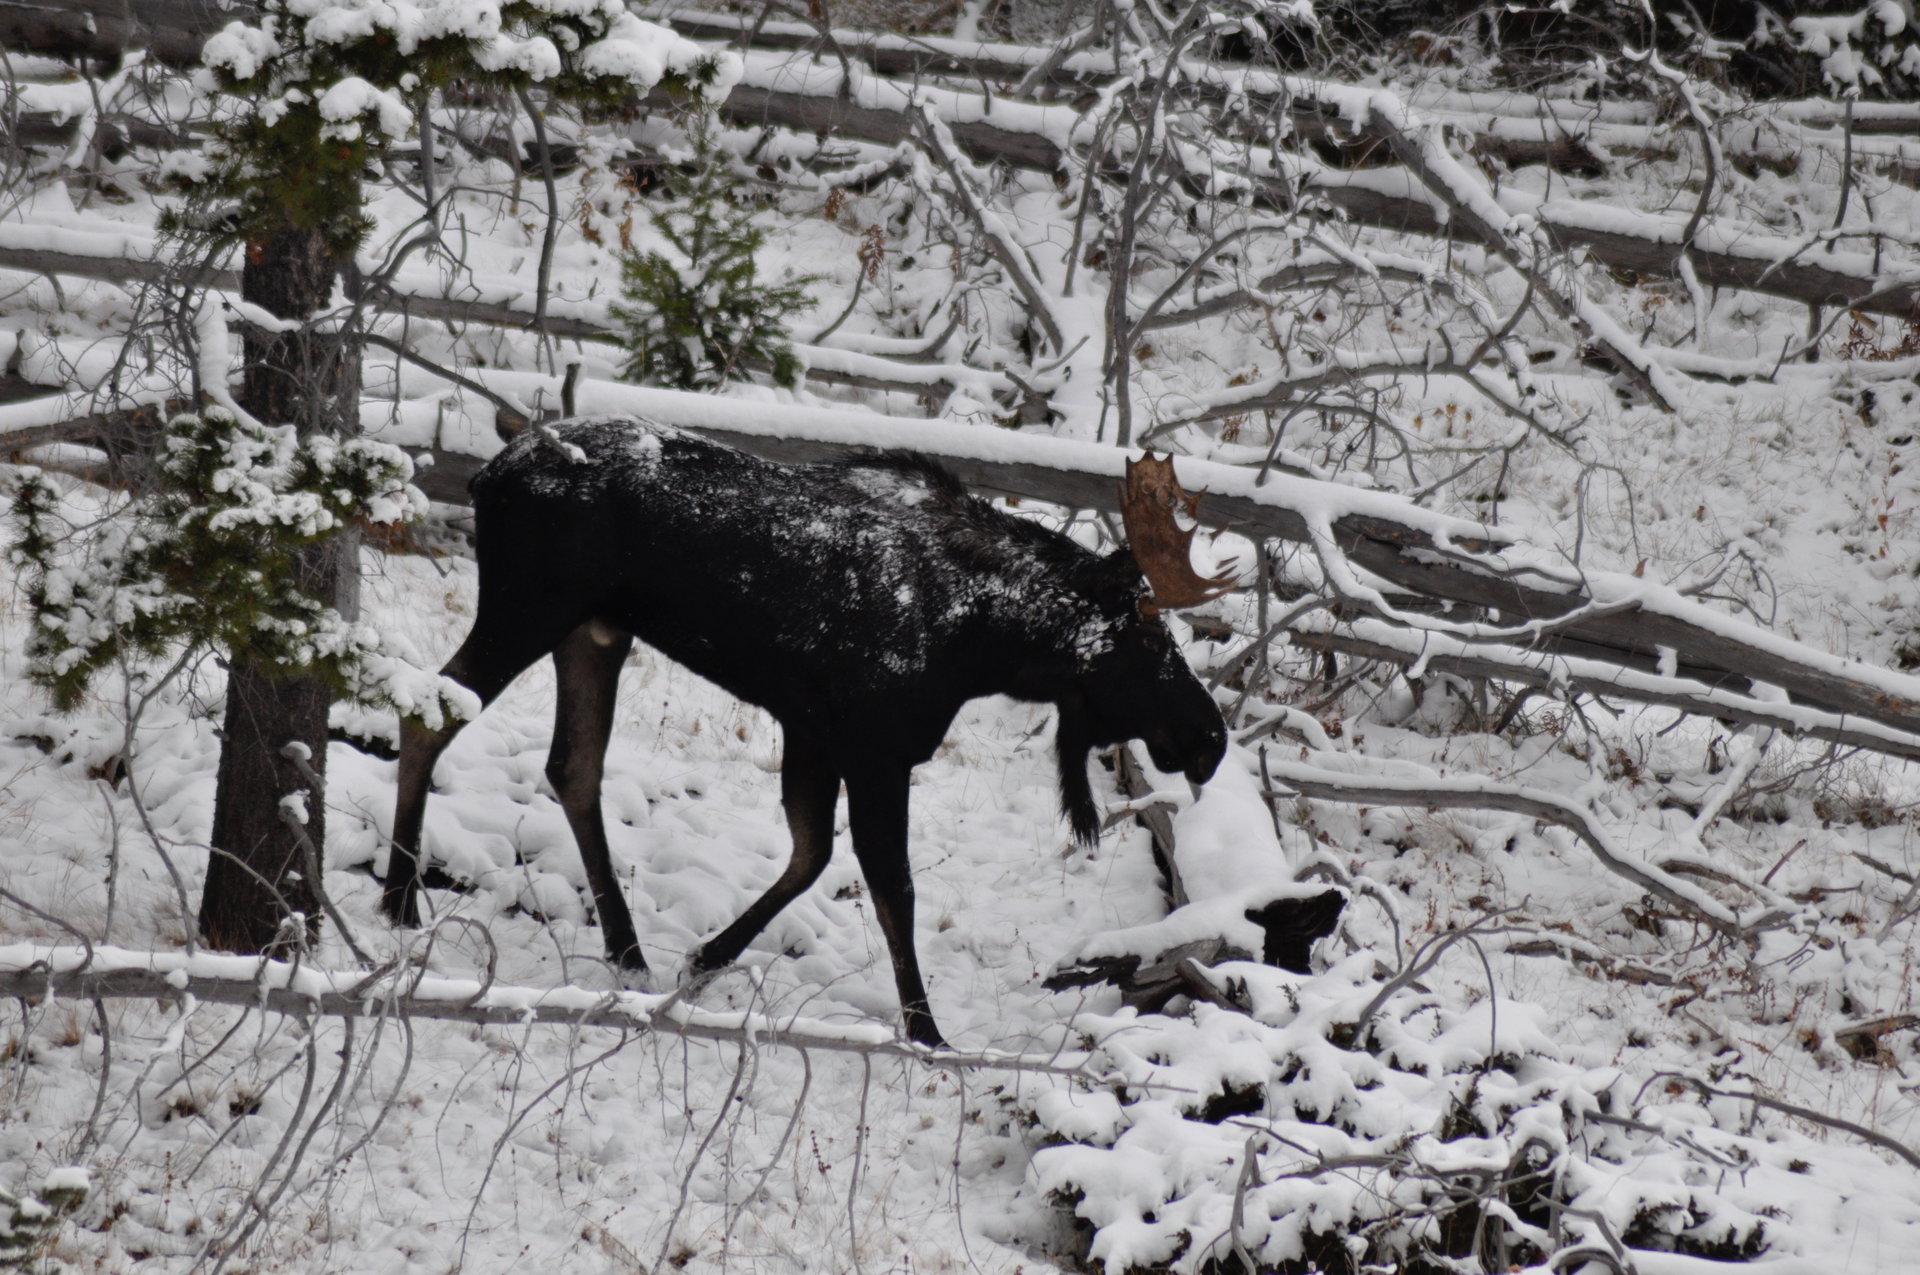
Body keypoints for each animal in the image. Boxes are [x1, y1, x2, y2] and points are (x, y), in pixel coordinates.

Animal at [383, 415, 1232, 1047]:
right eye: (1150, 636)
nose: (1211, 739)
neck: (986, 644)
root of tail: (486, 476)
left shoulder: (815, 730)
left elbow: (811, 850)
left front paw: (703, 958)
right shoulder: (874, 743)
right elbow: (891, 885)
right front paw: (926, 1032)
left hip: (594, 631)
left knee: (572, 766)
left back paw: (627, 951)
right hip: (531, 607)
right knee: (429, 713)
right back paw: (398, 902)